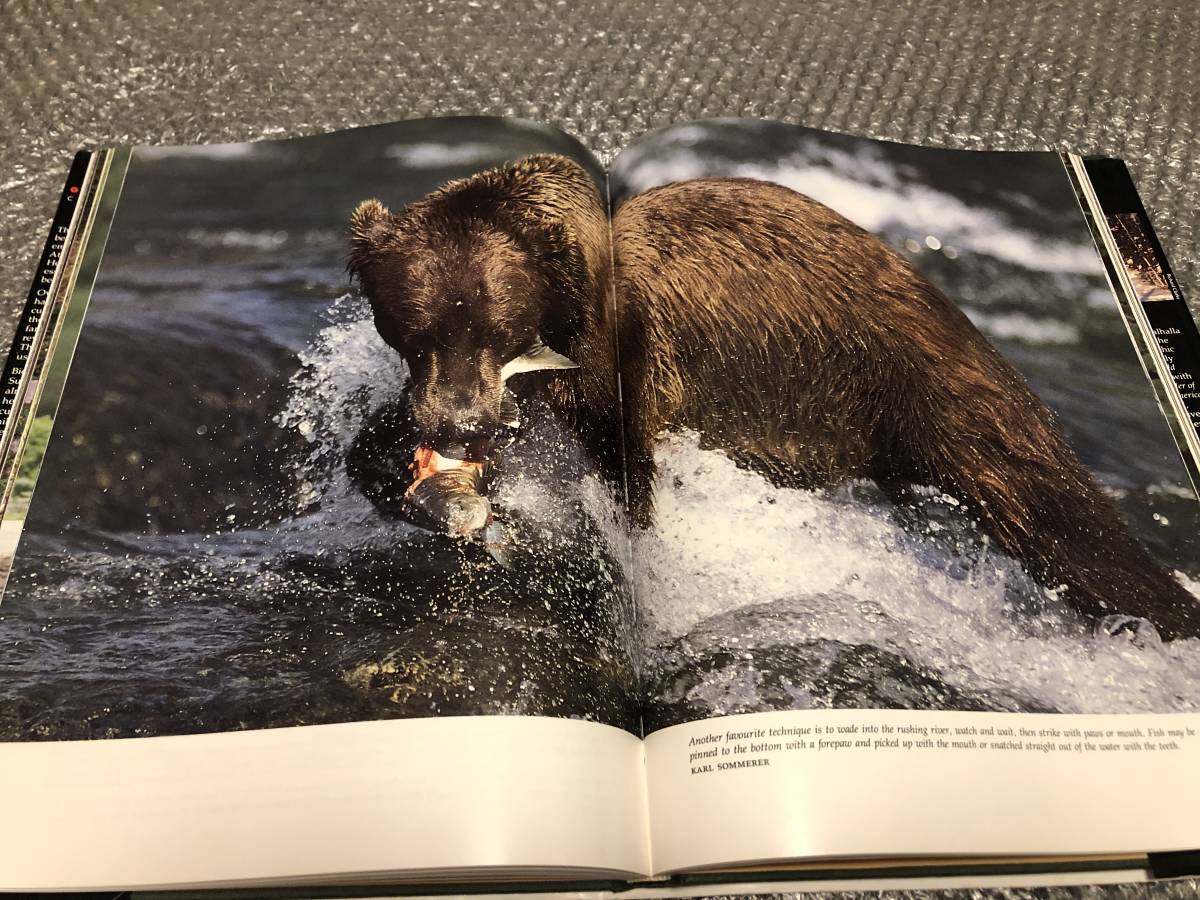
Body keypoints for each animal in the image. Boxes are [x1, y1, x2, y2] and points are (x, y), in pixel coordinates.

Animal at [348, 153, 1200, 643]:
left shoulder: (631, 363)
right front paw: (413, 480)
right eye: (413, 326)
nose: (461, 424)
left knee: (1066, 523)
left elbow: (627, 477)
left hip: (924, 388)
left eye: (497, 325)